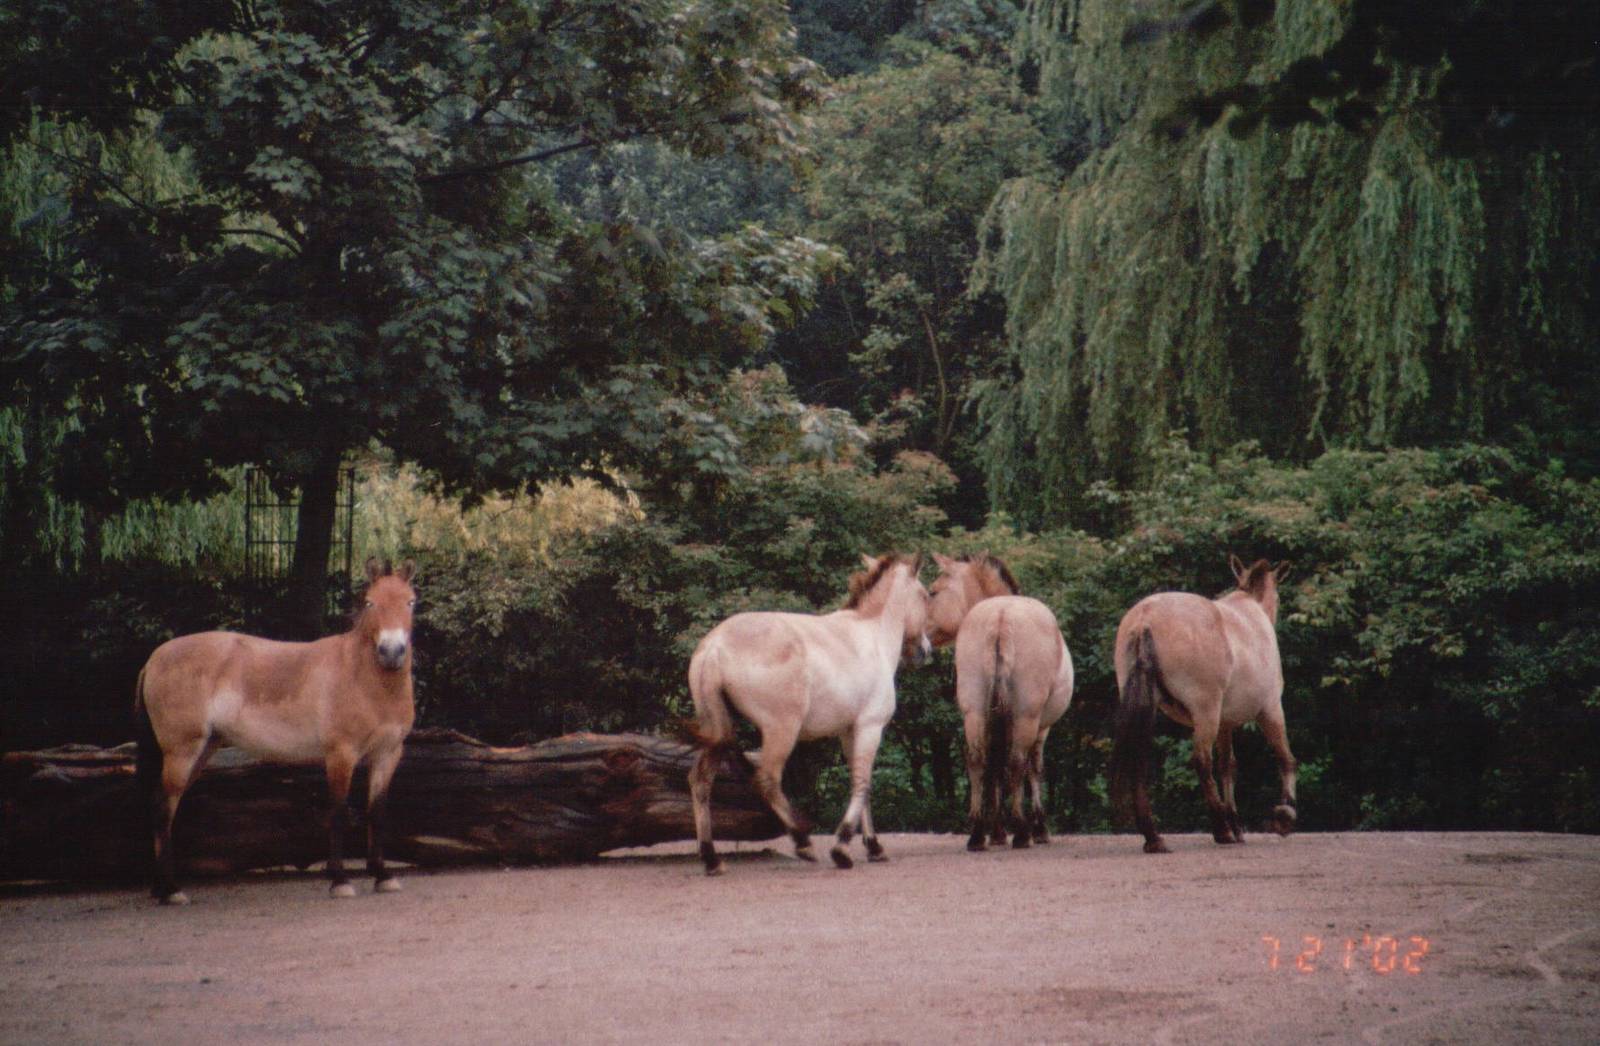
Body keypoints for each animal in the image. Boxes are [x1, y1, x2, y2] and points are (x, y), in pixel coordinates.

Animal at [133, 557, 418, 903]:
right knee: (163, 808)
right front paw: (339, 880)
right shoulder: (341, 754)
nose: (391, 652)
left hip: (201, 751)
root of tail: (155, 657)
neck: (363, 677)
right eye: (370, 602)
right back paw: (172, 890)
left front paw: (382, 875)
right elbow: (338, 811)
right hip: (181, 752)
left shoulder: (387, 754)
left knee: (163, 805)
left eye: (411, 602)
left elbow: (376, 812)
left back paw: (161, 887)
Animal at [688, 553, 932, 875]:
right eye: (926, 596)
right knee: (767, 779)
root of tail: (715, 645)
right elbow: (863, 783)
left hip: (719, 731)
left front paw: (874, 846)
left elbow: (862, 786)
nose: (926, 650)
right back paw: (803, 841)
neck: (872, 634)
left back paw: (711, 858)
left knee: (700, 781)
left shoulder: (849, 732)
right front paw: (842, 847)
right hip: (781, 731)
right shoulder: (870, 728)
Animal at [928, 553, 1075, 851]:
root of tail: (1001, 615)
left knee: (977, 760)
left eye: (933, 592)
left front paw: (995, 831)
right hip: (1026, 717)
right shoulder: (1040, 728)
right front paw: (1039, 827)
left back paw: (976, 834)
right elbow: (1033, 768)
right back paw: (1021, 832)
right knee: (1017, 763)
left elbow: (993, 768)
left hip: (974, 713)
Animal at [1110, 555, 1297, 853]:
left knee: (1140, 760)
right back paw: (1220, 829)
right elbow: (1285, 758)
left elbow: (1228, 767)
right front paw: (1285, 814)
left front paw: (1236, 822)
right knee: (1201, 761)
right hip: (1205, 712)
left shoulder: (1225, 723)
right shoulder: (1270, 710)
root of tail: (1145, 619)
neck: (1250, 611)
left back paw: (1154, 836)